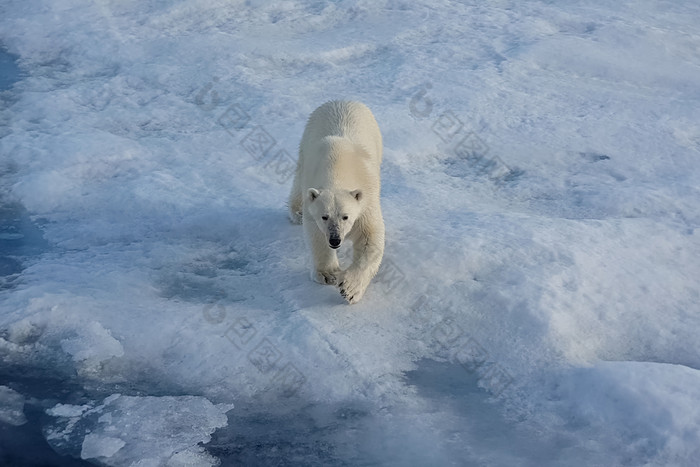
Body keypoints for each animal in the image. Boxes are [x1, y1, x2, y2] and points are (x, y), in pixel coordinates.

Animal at [288, 101, 386, 306]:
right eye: (324, 216)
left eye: (345, 216)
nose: (335, 240)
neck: (338, 167)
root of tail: (343, 100)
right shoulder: (313, 193)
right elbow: (316, 235)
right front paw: (328, 274)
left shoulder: (366, 199)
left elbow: (370, 238)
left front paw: (349, 289)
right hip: (306, 139)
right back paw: (296, 212)